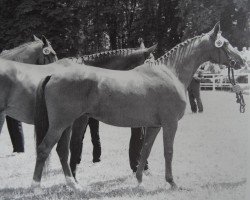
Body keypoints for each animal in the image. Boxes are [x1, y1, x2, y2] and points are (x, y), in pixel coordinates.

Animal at [32, 21, 245, 191]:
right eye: (225, 43)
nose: (241, 61)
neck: (170, 72)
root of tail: (53, 74)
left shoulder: (154, 125)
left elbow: (145, 150)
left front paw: (140, 180)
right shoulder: (170, 124)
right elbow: (168, 152)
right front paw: (172, 182)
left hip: (68, 124)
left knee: (61, 150)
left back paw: (73, 184)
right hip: (61, 124)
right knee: (44, 149)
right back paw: (36, 186)